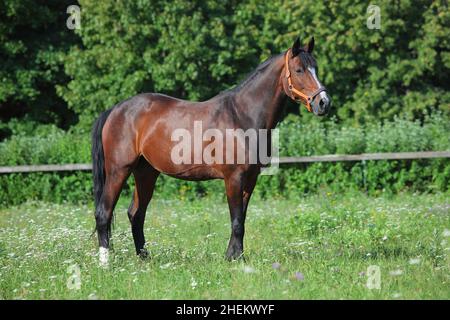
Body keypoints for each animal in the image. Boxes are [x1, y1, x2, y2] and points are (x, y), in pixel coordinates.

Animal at [92, 37, 330, 264]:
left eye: (316, 68)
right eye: (299, 70)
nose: (324, 103)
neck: (242, 115)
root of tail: (116, 109)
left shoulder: (250, 179)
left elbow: (241, 219)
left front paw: (234, 256)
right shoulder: (233, 178)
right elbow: (236, 221)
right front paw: (235, 259)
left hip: (146, 172)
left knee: (136, 214)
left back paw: (144, 258)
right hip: (119, 170)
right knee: (104, 212)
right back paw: (105, 263)